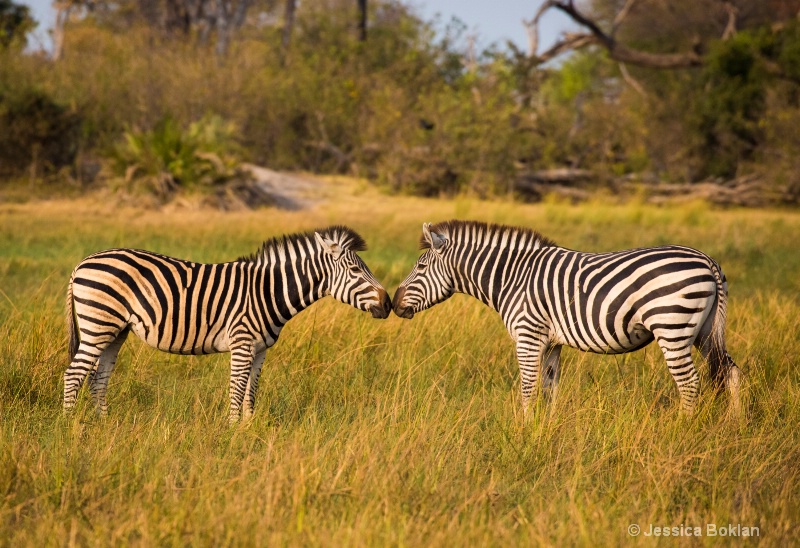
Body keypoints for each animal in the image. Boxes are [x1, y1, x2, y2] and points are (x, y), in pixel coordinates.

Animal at [63, 225, 390, 422]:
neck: (267, 291)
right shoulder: (242, 343)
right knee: (74, 374)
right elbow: (236, 388)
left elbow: (251, 391)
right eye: (355, 271)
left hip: (115, 330)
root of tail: (82, 263)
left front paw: (249, 428)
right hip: (98, 324)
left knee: (98, 378)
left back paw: (104, 424)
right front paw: (232, 433)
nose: (388, 304)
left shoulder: (260, 349)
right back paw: (70, 428)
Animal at [394, 219, 744, 416]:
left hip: (672, 326)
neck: (513, 277)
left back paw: (682, 428)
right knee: (731, 373)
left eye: (420, 267)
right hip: (704, 330)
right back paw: (734, 428)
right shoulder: (551, 342)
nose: (395, 304)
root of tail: (708, 261)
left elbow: (527, 387)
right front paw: (544, 432)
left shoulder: (528, 336)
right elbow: (549, 389)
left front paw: (523, 432)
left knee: (689, 383)